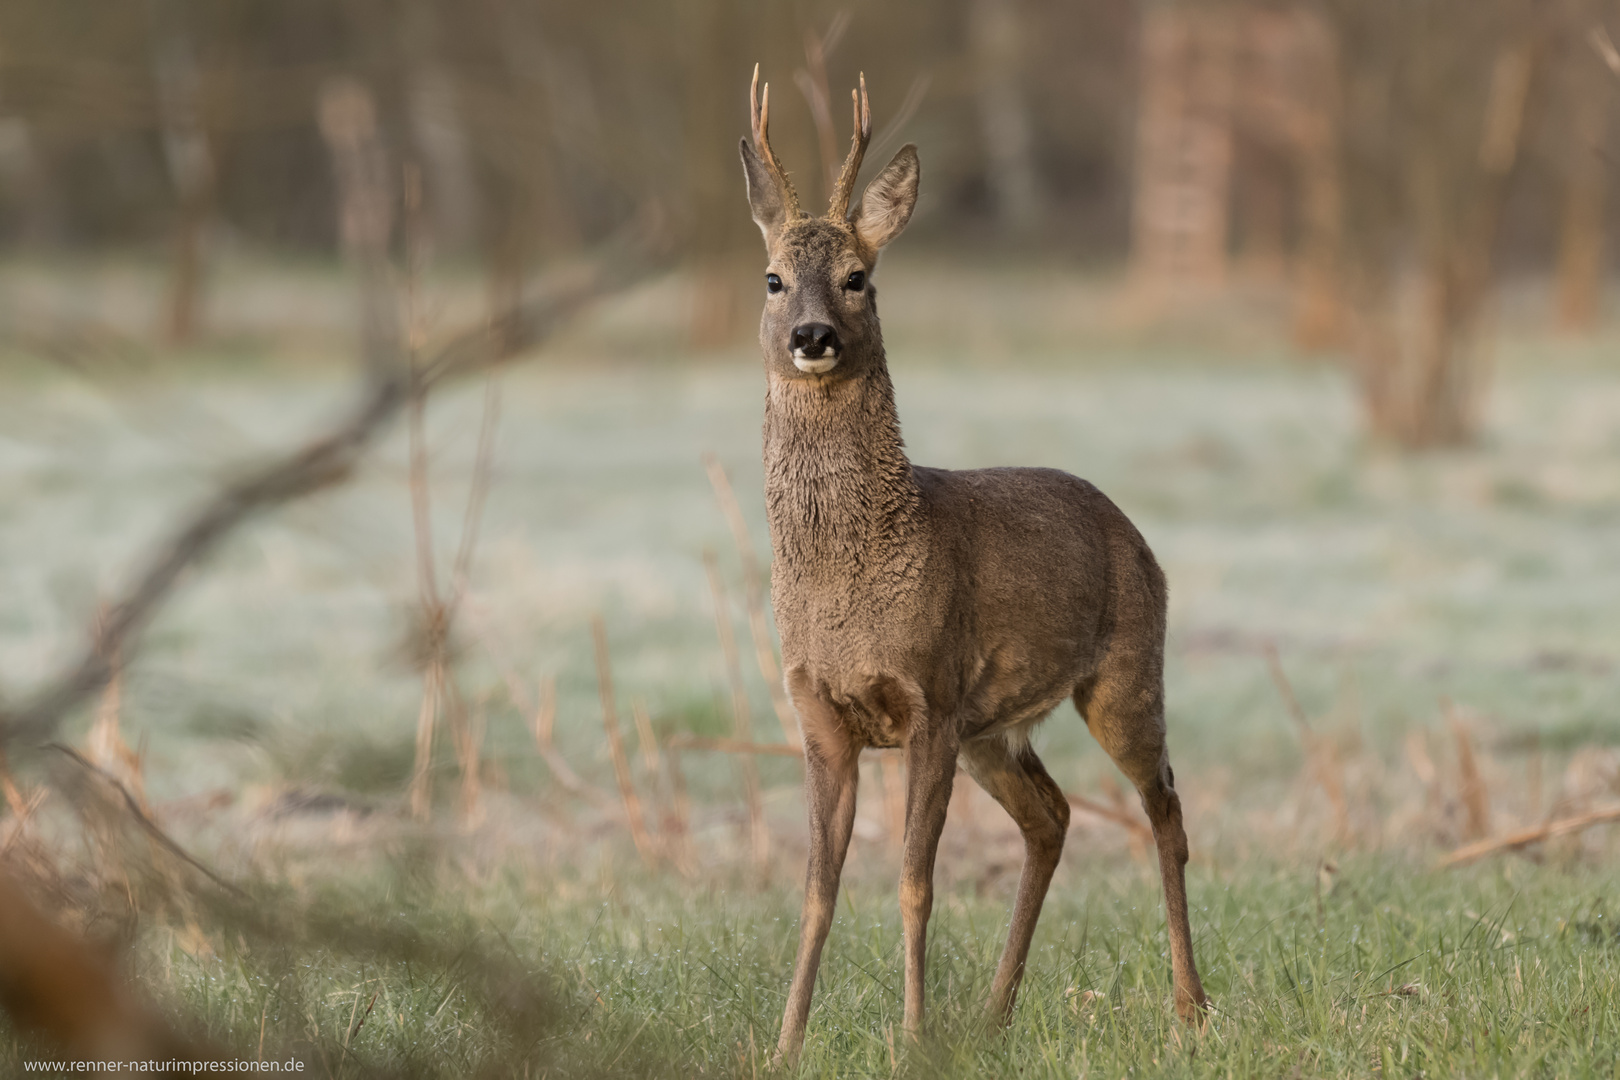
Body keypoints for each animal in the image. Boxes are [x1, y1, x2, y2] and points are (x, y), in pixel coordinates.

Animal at [741, 65, 1211, 1062]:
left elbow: (916, 882)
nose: (811, 335)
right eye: (772, 278)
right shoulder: (820, 714)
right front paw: (786, 1044)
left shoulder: (930, 697)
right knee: (1054, 816)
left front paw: (912, 1035)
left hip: (1122, 674)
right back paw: (996, 1011)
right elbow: (816, 891)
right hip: (997, 728)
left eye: (859, 277)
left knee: (1165, 807)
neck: (846, 588)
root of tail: (1134, 532)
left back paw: (1191, 1004)